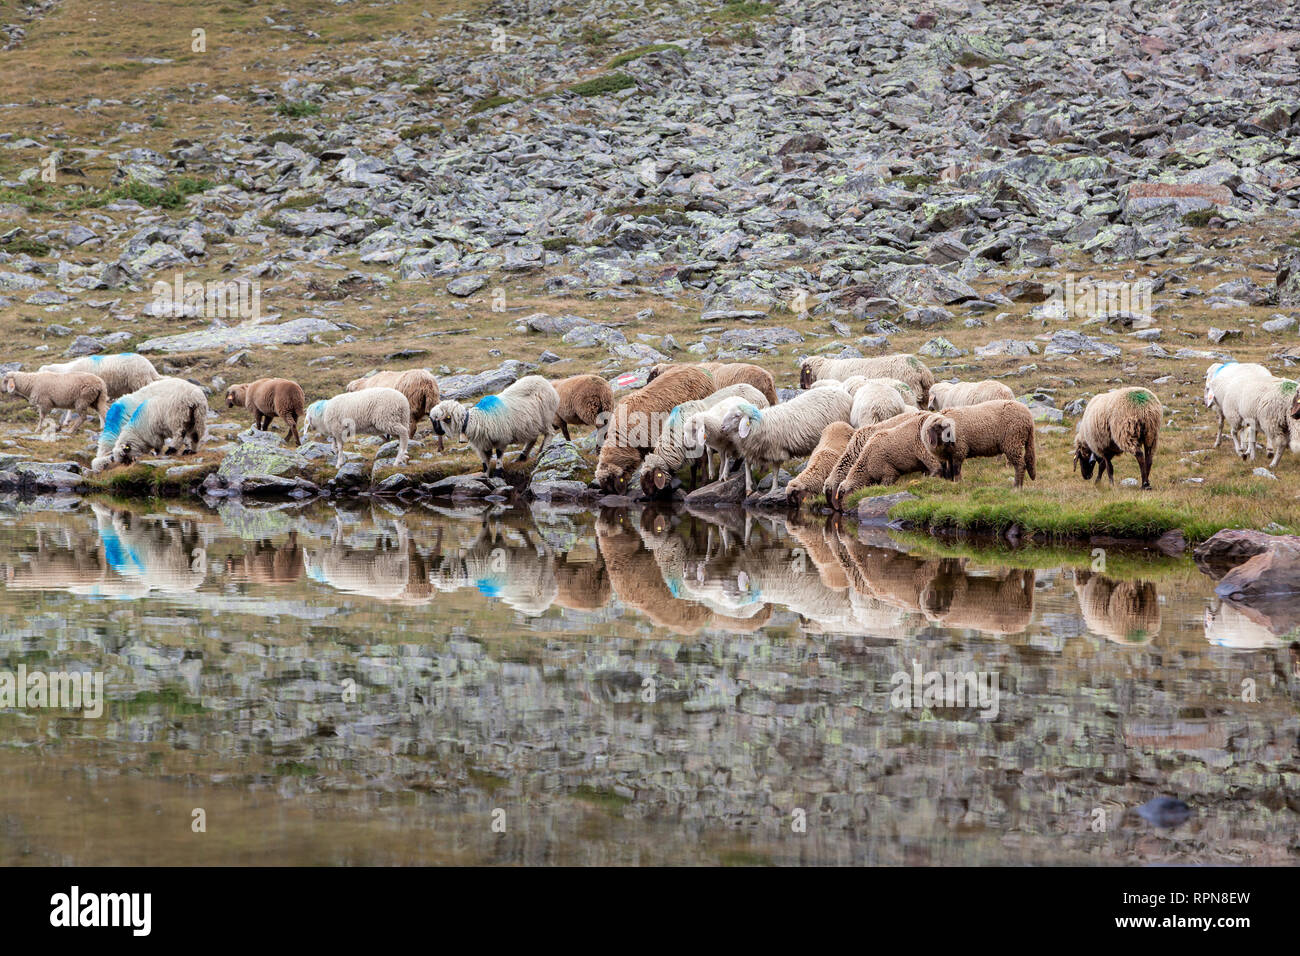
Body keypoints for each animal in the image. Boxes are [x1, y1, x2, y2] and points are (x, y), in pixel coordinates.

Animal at [426, 374, 559, 476]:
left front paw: (499, 471)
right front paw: (486, 475)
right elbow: (485, 462)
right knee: (532, 439)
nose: (437, 432)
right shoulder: (482, 445)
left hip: (545, 417)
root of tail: (543, 380)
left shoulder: (502, 439)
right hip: (531, 424)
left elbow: (499, 455)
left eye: (438, 420)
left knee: (550, 433)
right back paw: (521, 456)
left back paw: (544, 451)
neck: (476, 420)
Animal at [639, 382, 769, 494]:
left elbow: (703, 464)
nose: (647, 494)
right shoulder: (691, 453)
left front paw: (703, 483)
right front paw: (692, 487)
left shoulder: (700, 449)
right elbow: (693, 470)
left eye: (650, 477)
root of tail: (759, 393)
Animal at [722, 387, 852, 496]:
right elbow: (747, 465)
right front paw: (748, 488)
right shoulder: (752, 449)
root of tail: (843, 392)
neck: (759, 424)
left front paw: (773, 489)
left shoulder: (775, 450)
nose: (722, 427)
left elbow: (775, 472)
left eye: (737, 415)